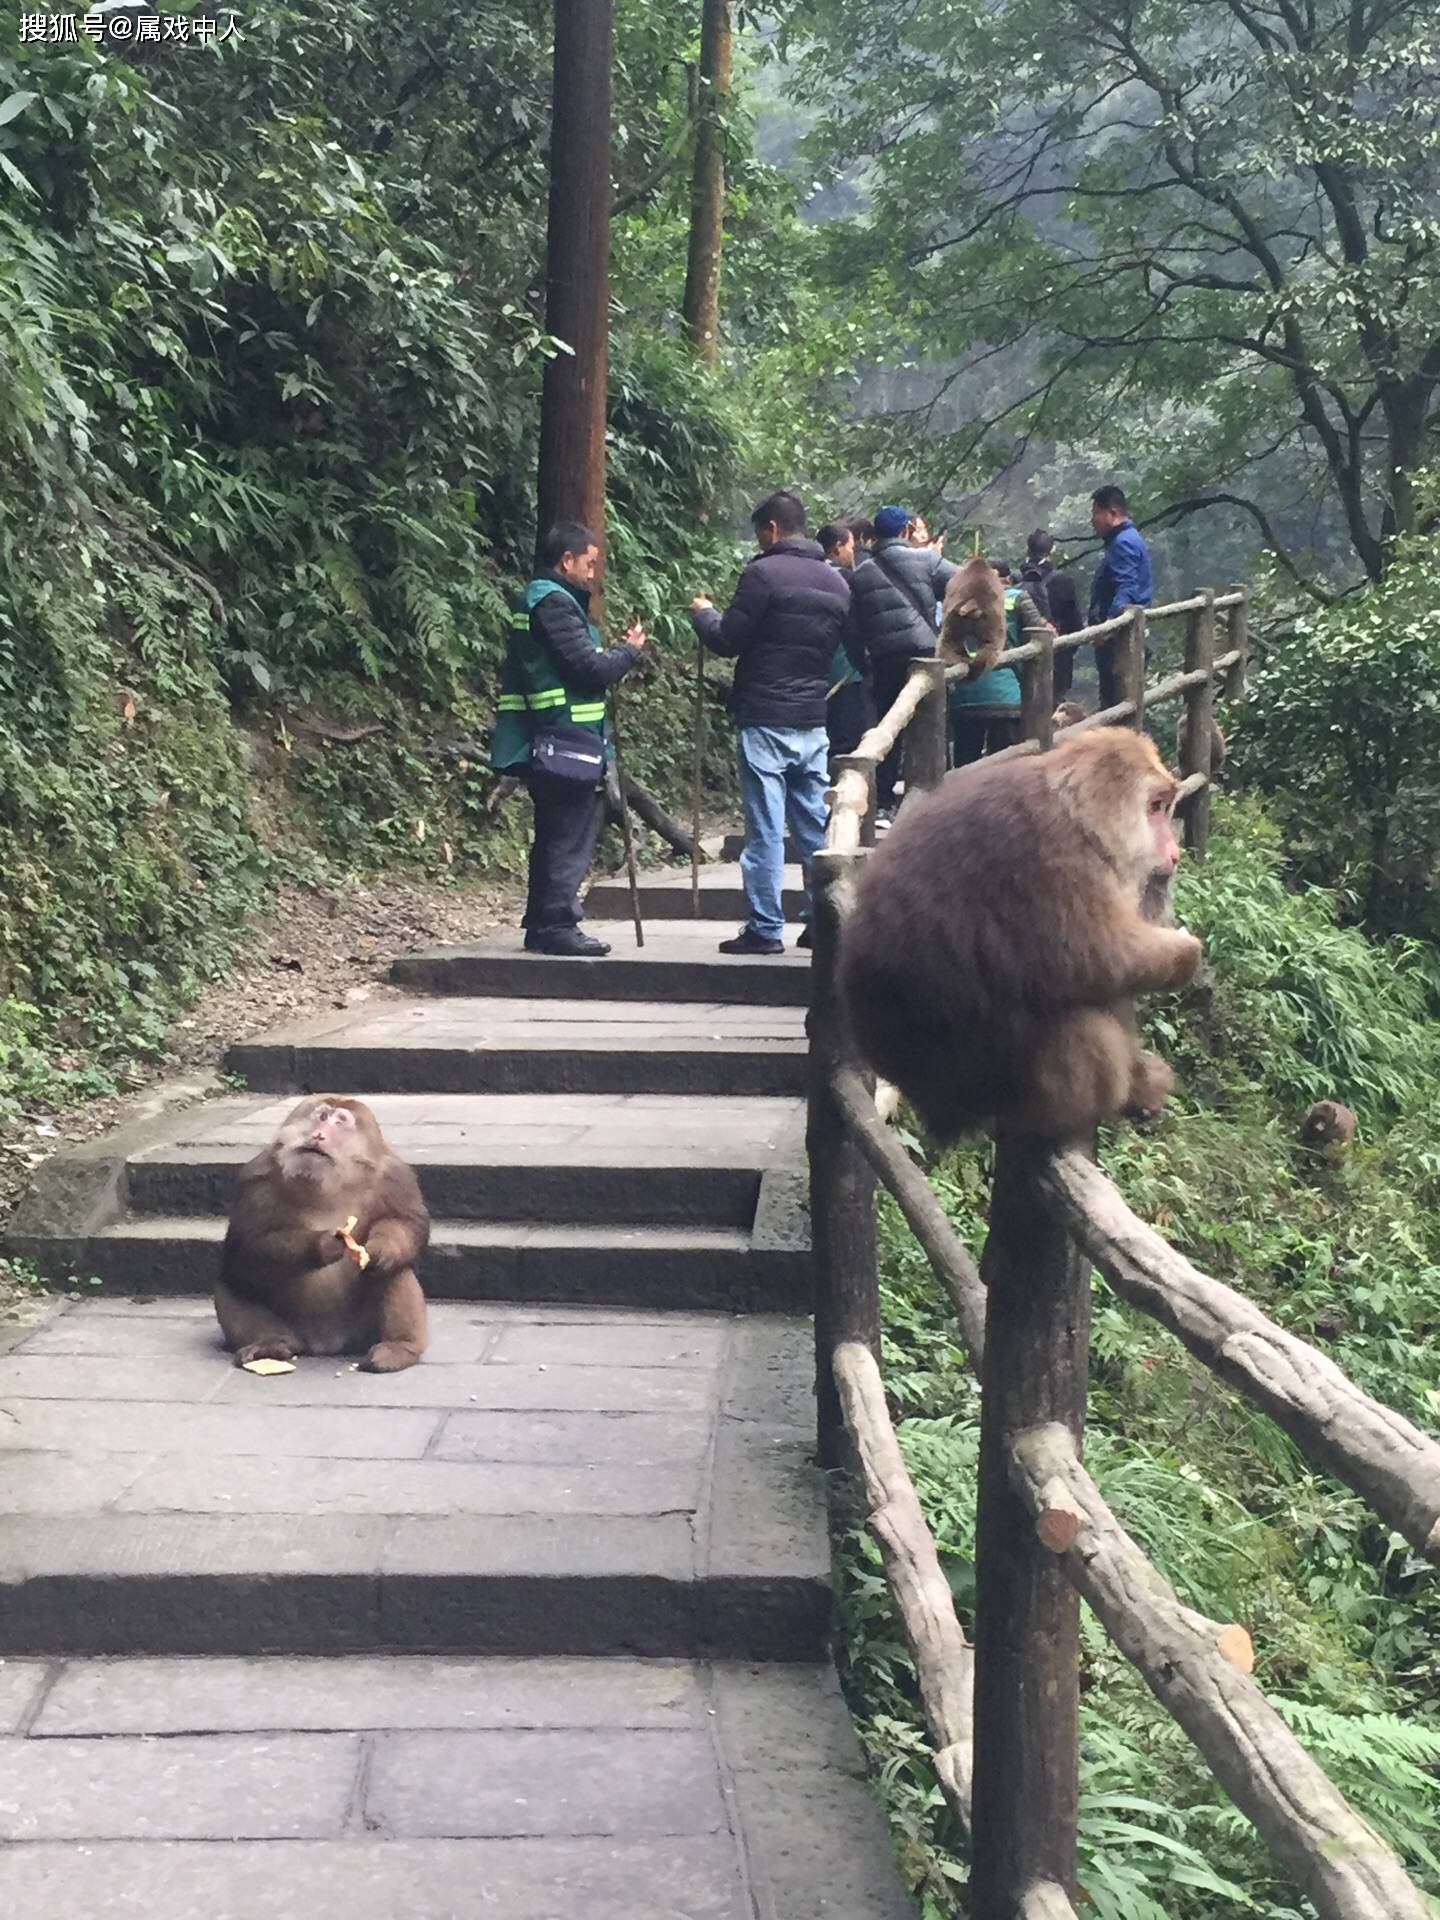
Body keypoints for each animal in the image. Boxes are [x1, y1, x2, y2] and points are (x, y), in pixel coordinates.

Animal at [214, 1098, 428, 1367]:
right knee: (230, 1284)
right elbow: (245, 1244)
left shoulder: (395, 1176)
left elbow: (410, 1222)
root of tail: (324, 1344)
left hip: (360, 1332)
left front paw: (382, 1249)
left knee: (395, 1272)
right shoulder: (257, 1178)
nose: (318, 1135)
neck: (326, 1186)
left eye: (340, 1122)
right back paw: (271, 1344)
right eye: (322, 1117)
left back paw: (400, 1347)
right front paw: (323, 1245)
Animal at [840, 725, 1198, 1128]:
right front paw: (1187, 951)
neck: (1081, 820)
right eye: (1154, 807)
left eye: (1166, 807)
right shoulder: (1054, 857)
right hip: (990, 1083)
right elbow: (1099, 956)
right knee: (1076, 1015)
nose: (1174, 852)